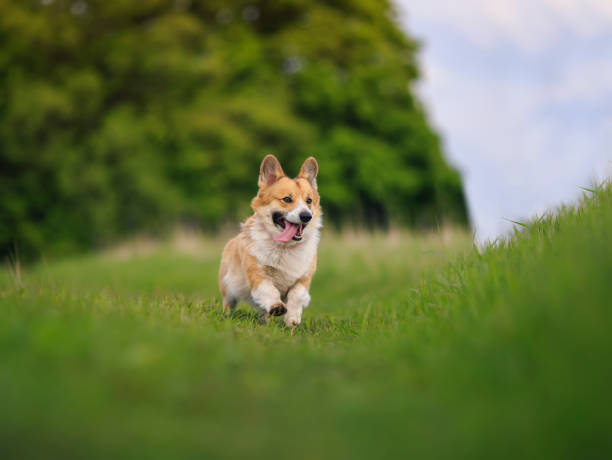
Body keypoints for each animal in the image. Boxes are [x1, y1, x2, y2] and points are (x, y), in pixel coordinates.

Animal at [220, 155, 322, 330]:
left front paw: (292, 320)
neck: (285, 247)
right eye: (287, 199)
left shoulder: (304, 278)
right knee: (229, 303)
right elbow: (269, 290)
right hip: (228, 287)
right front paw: (277, 306)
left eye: (309, 201)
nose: (306, 216)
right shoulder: (257, 274)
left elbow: (296, 295)